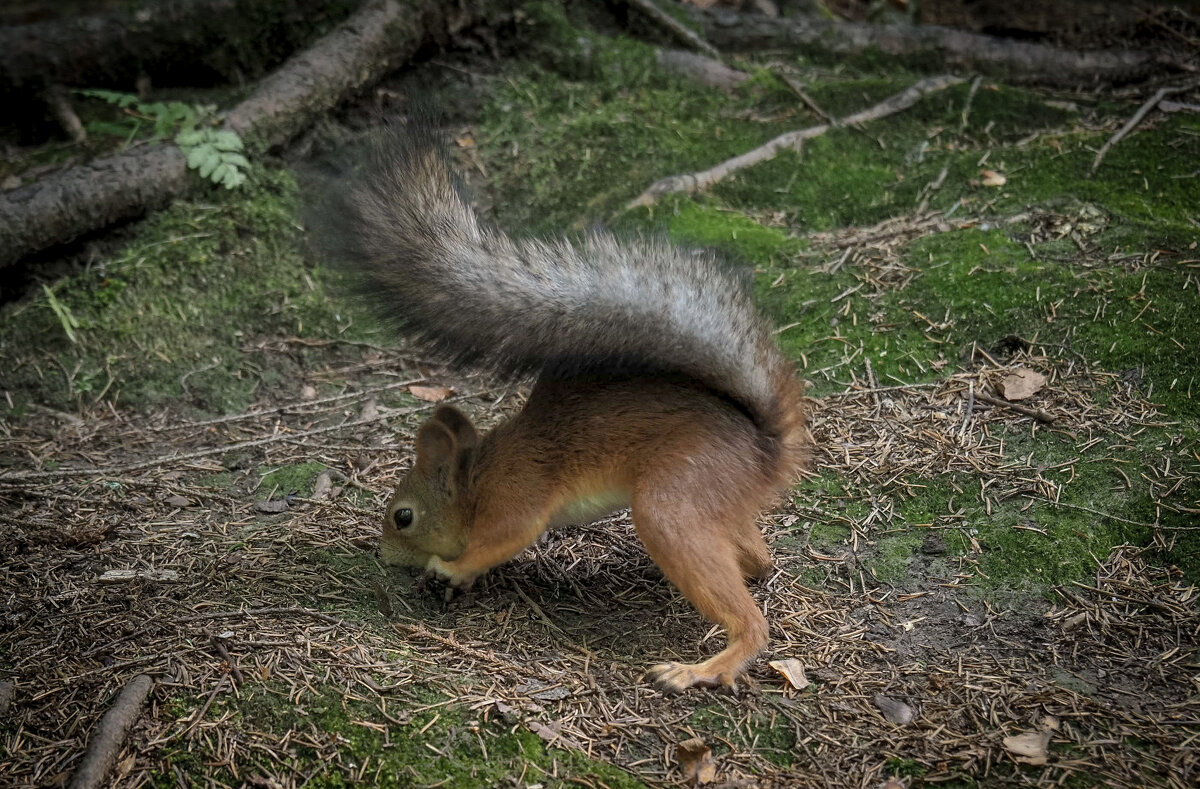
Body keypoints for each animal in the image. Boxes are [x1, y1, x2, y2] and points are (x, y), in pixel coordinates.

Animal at [314, 115, 811, 690]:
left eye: (403, 517)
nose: (384, 555)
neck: (476, 478)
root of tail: (767, 449)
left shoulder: (516, 497)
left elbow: (504, 538)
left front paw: (452, 569)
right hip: (714, 504)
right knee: (758, 557)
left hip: (675, 498)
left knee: (750, 620)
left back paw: (699, 669)